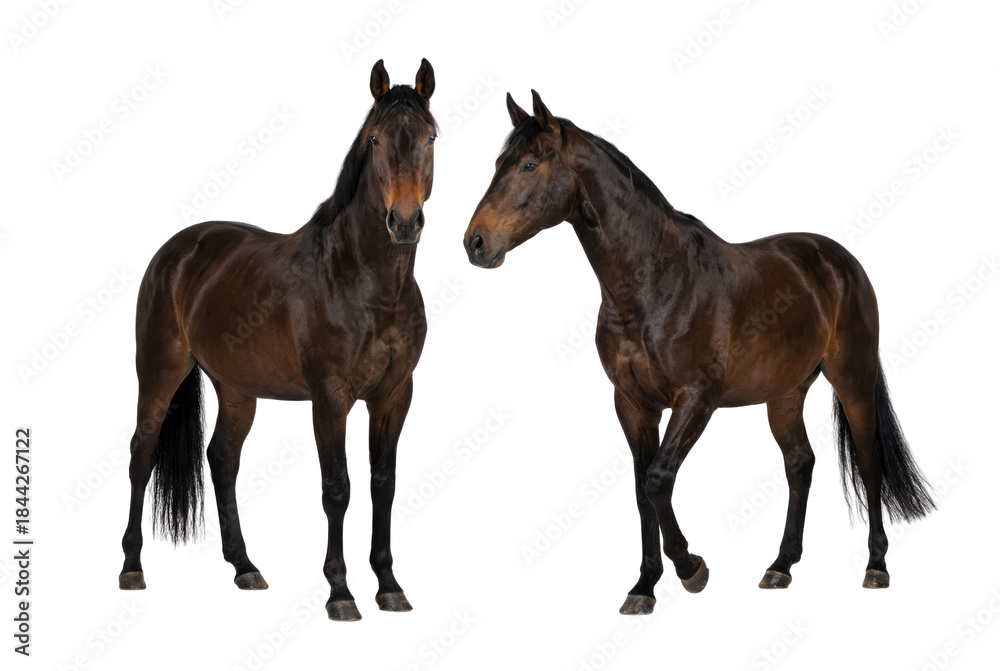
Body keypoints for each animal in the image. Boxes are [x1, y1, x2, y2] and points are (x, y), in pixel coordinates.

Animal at [119, 59, 437, 621]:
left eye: (431, 136)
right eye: (375, 138)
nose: (404, 221)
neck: (366, 282)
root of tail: (176, 251)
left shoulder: (394, 396)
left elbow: (384, 486)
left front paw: (389, 585)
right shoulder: (330, 399)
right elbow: (338, 489)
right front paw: (340, 593)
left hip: (237, 389)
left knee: (222, 459)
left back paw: (245, 567)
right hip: (159, 373)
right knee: (142, 454)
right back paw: (132, 567)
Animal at [463, 90, 935, 614]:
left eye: (529, 164)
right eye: (498, 163)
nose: (475, 242)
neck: (655, 281)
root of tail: (840, 261)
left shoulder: (696, 399)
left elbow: (658, 479)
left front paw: (692, 569)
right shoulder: (633, 404)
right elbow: (641, 491)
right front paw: (643, 587)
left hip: (852, 378)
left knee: (869, 460)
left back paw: (876, 566)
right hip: (785, 394)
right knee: (800, 463)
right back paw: (780, 566)